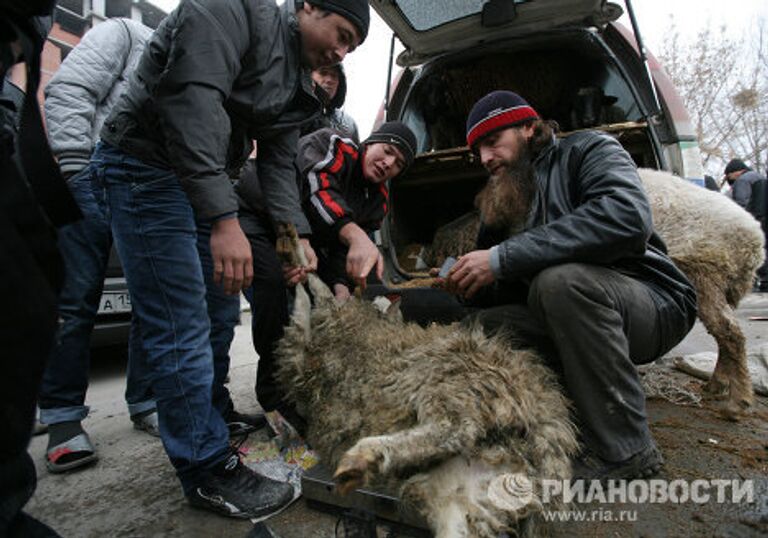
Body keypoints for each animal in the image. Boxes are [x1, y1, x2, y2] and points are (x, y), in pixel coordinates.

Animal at [272, 222, 580, 536]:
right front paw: (291, 253)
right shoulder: (304, 358)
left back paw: (366, 454)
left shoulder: (325, 327)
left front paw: (293, 248)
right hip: (470, 494)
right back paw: (366, 465)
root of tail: (547, 421)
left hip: (455, 385)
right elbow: (303, 308)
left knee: (457, 428)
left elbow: (314, 290)